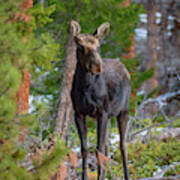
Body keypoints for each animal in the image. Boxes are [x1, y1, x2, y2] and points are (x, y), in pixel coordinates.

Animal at [70, 20, 131, 179]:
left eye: (98, 46)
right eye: (81, 46)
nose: (97, 66)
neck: (85, 87)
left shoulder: (101, 113)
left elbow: (98, 149)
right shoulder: (78, 113)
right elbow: (85, 149)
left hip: (123, 111)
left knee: (123, 145)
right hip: (109, 116)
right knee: (108, 145)